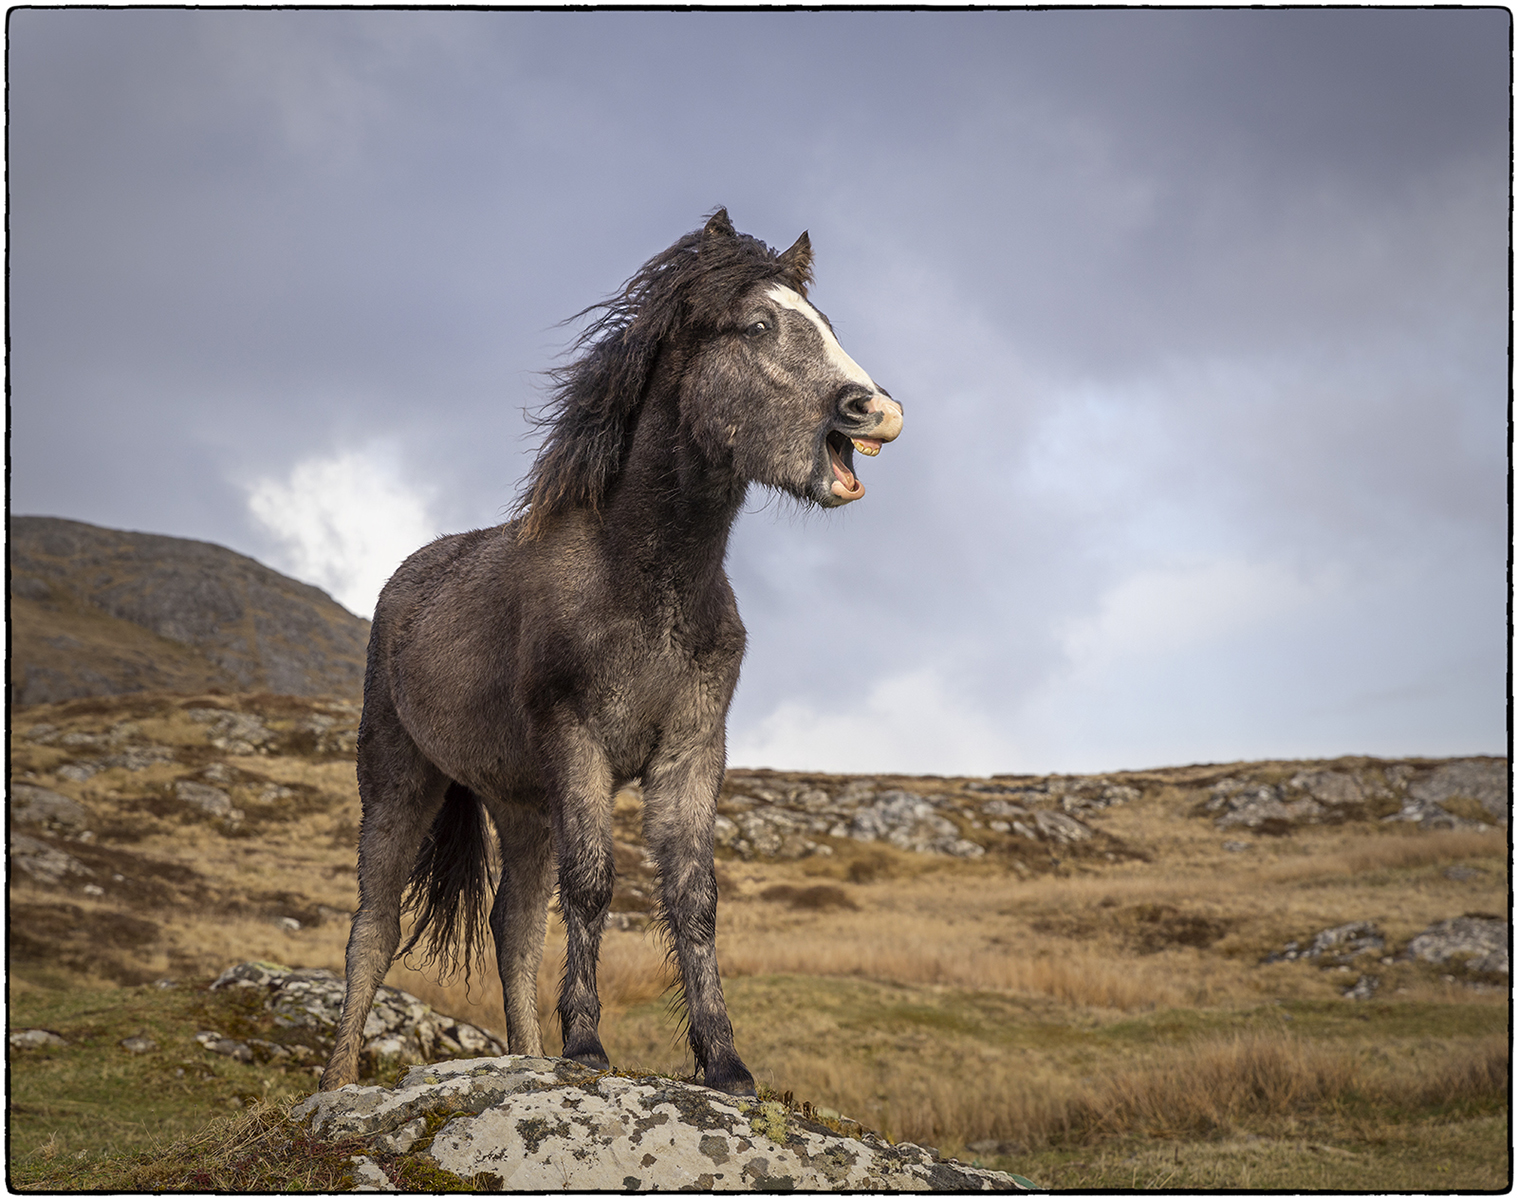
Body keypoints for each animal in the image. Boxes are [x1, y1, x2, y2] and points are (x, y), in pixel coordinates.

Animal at [318, 209, 903, 1096]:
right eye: (758, 326)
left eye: (827, 325)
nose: (874, 409)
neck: (646, 578)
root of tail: (404, 580)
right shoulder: (581, 745)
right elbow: (593, 887)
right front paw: (589, 1048)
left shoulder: (692, 752)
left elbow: (694, 899)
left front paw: (724, 1061)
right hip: (399, 778)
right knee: (375, 925)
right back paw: (338, 1082)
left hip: (522, 805)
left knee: (515, 927)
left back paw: (525, 1056)